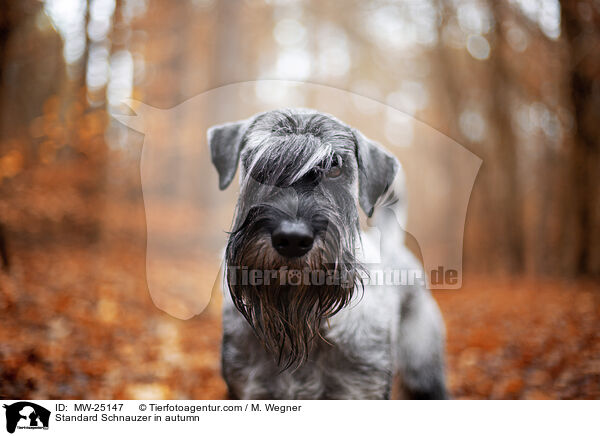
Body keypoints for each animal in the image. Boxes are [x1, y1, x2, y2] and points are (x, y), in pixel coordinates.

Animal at [209, 109, 448, 398]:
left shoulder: (360, 389)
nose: (292, 238)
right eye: (259, 164)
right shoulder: (251, 387)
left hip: (423, 370)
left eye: (335, 167)